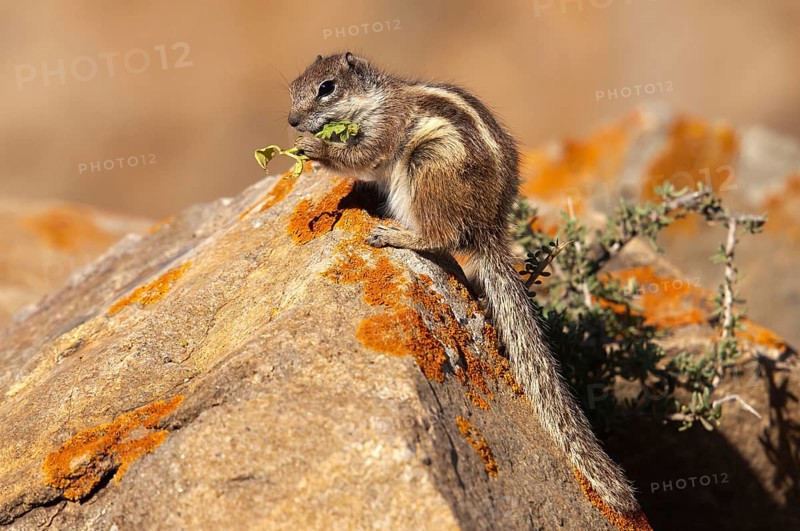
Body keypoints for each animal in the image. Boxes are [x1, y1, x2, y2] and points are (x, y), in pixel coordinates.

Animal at [287, 52, 640, 515]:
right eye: (293, 86)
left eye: (326, 88)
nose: (291, 121)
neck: (374, 100)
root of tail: (489, 228)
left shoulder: (386, 129)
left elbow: (362, 154)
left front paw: (316, 149)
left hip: (428, 166)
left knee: (439, 236)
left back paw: (394, 234)